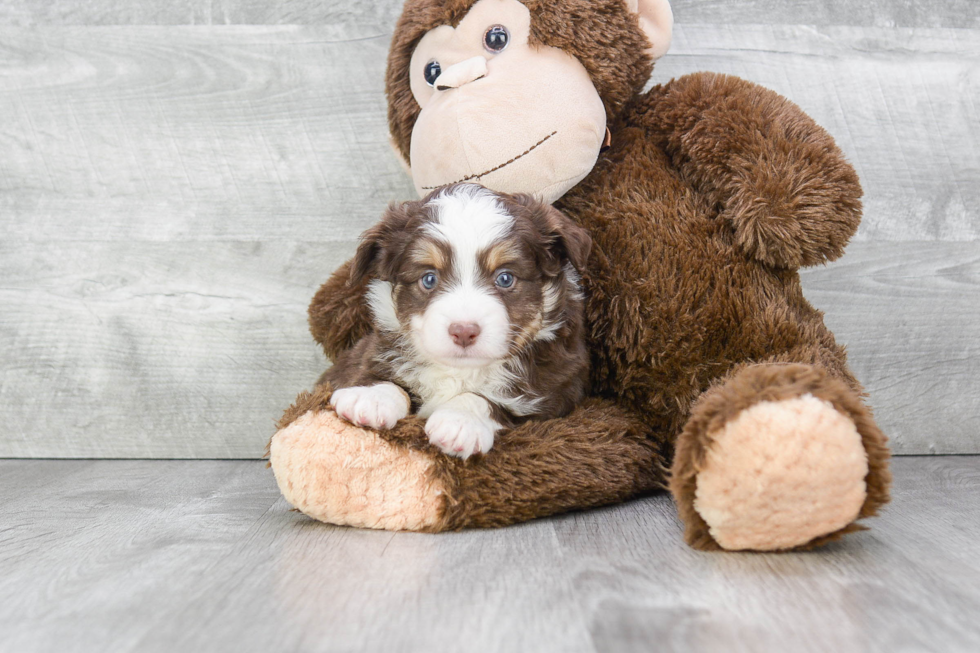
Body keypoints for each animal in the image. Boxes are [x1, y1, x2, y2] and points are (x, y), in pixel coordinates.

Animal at [326, 182, 592, 458]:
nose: (463, 331)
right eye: (429, 279)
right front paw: (372, 397)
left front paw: (460, 421)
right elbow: (377, 371)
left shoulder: (556, 394)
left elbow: (492, 401)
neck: (460, 370)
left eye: (505, 278)